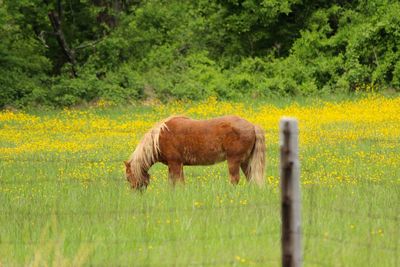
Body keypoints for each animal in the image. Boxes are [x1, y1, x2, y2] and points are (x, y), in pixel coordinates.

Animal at [123, 115, 264, 191]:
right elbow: (175, 182)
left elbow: (177, 182)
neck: (159, 138)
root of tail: (252, 126)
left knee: (234, 179)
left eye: (128, 177)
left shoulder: (175, 163)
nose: (136, 194)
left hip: (234, 161)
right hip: (245, 162)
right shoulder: (177, 164)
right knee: (250, 177)